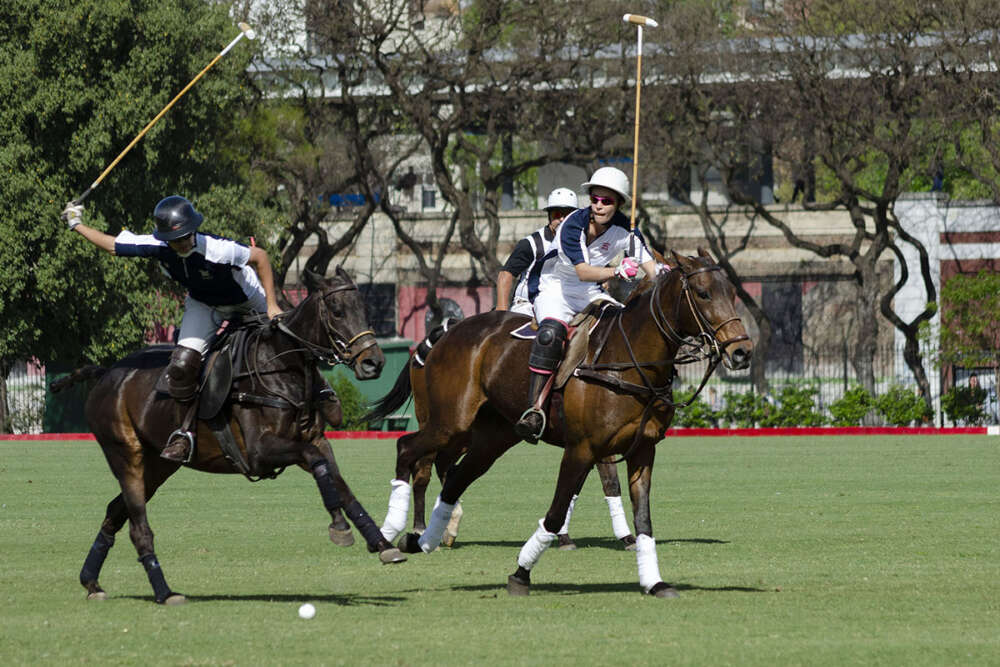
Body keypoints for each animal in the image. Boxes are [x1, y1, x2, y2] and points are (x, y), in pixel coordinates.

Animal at [51, 266, 406, 604]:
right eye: (336, 310)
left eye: (363, 307)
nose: (373, 362)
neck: (281, 367)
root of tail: (106, 373)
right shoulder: (260, 453)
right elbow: (317, 463)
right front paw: (339, 526)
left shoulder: (314, 439)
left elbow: (341, 485)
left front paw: (382, 543)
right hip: (125, 455)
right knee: (138, 527)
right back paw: (165, 592)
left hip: (158, 465)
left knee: (115, 510)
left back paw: (91, 582)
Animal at [366, 248, 752, 596]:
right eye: (702, 292)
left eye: (732, 292)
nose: (742, 351)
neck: (629, 361)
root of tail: (446, 333)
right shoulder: (583, 448)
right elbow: (556, 512)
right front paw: (521, 574)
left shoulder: (642, 450)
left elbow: (643, 520)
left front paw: (654, 582)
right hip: (451, 422)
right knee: (409, 449)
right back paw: (394, 532)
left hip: (493, 436)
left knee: (456, 475)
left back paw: (427, 538)